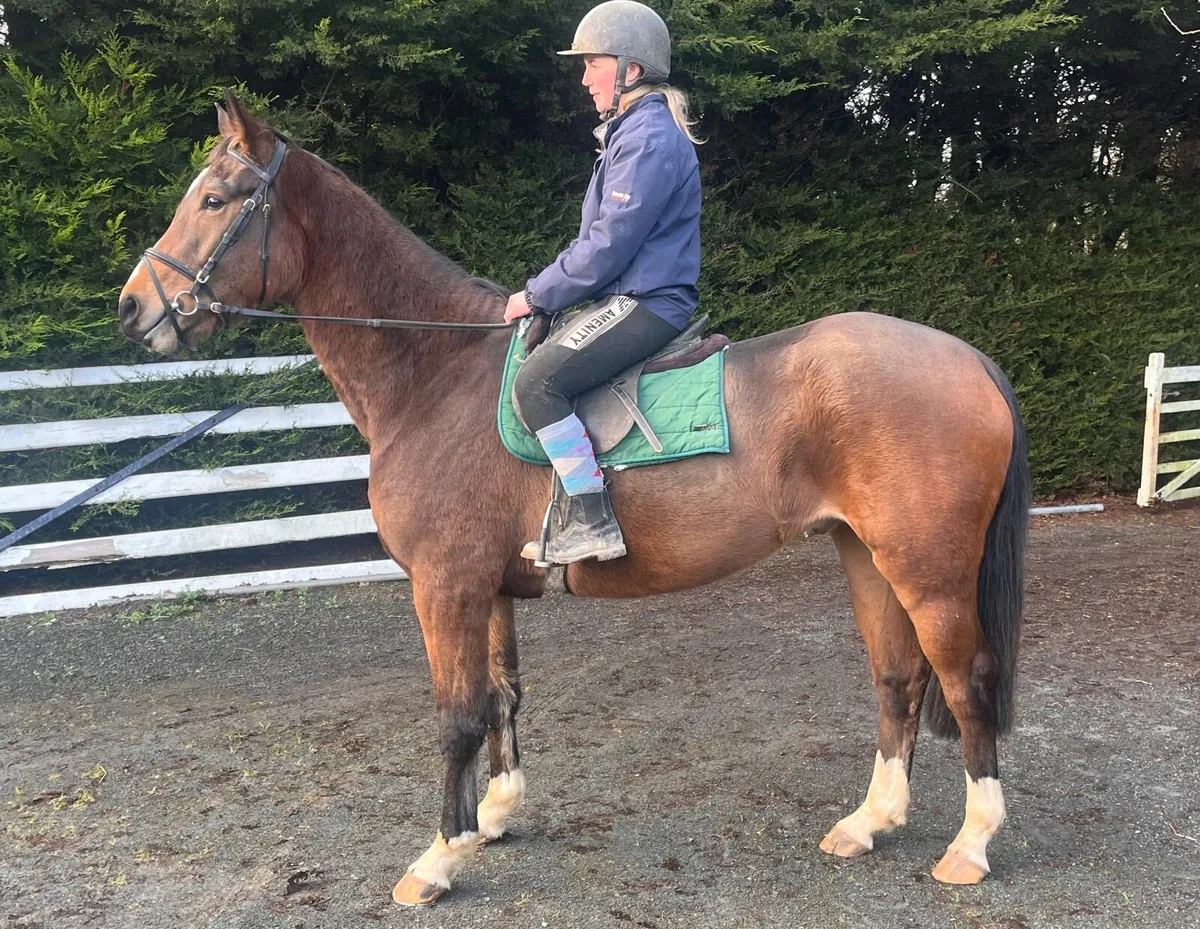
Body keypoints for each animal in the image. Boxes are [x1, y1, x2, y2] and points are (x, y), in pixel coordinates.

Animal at [117, 93, 1030, 906]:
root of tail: (968, 358)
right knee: (896, 678)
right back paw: (870, 821)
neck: (434, 373)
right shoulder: (484, 588)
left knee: (966, 680)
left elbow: (456, 716)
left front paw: (438, 860)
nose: (133, 308)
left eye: (214, 199)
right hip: (866, 554)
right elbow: (502, 697)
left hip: (929, 570)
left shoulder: (443, 585)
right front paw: (493, 815)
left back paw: (971, 844)